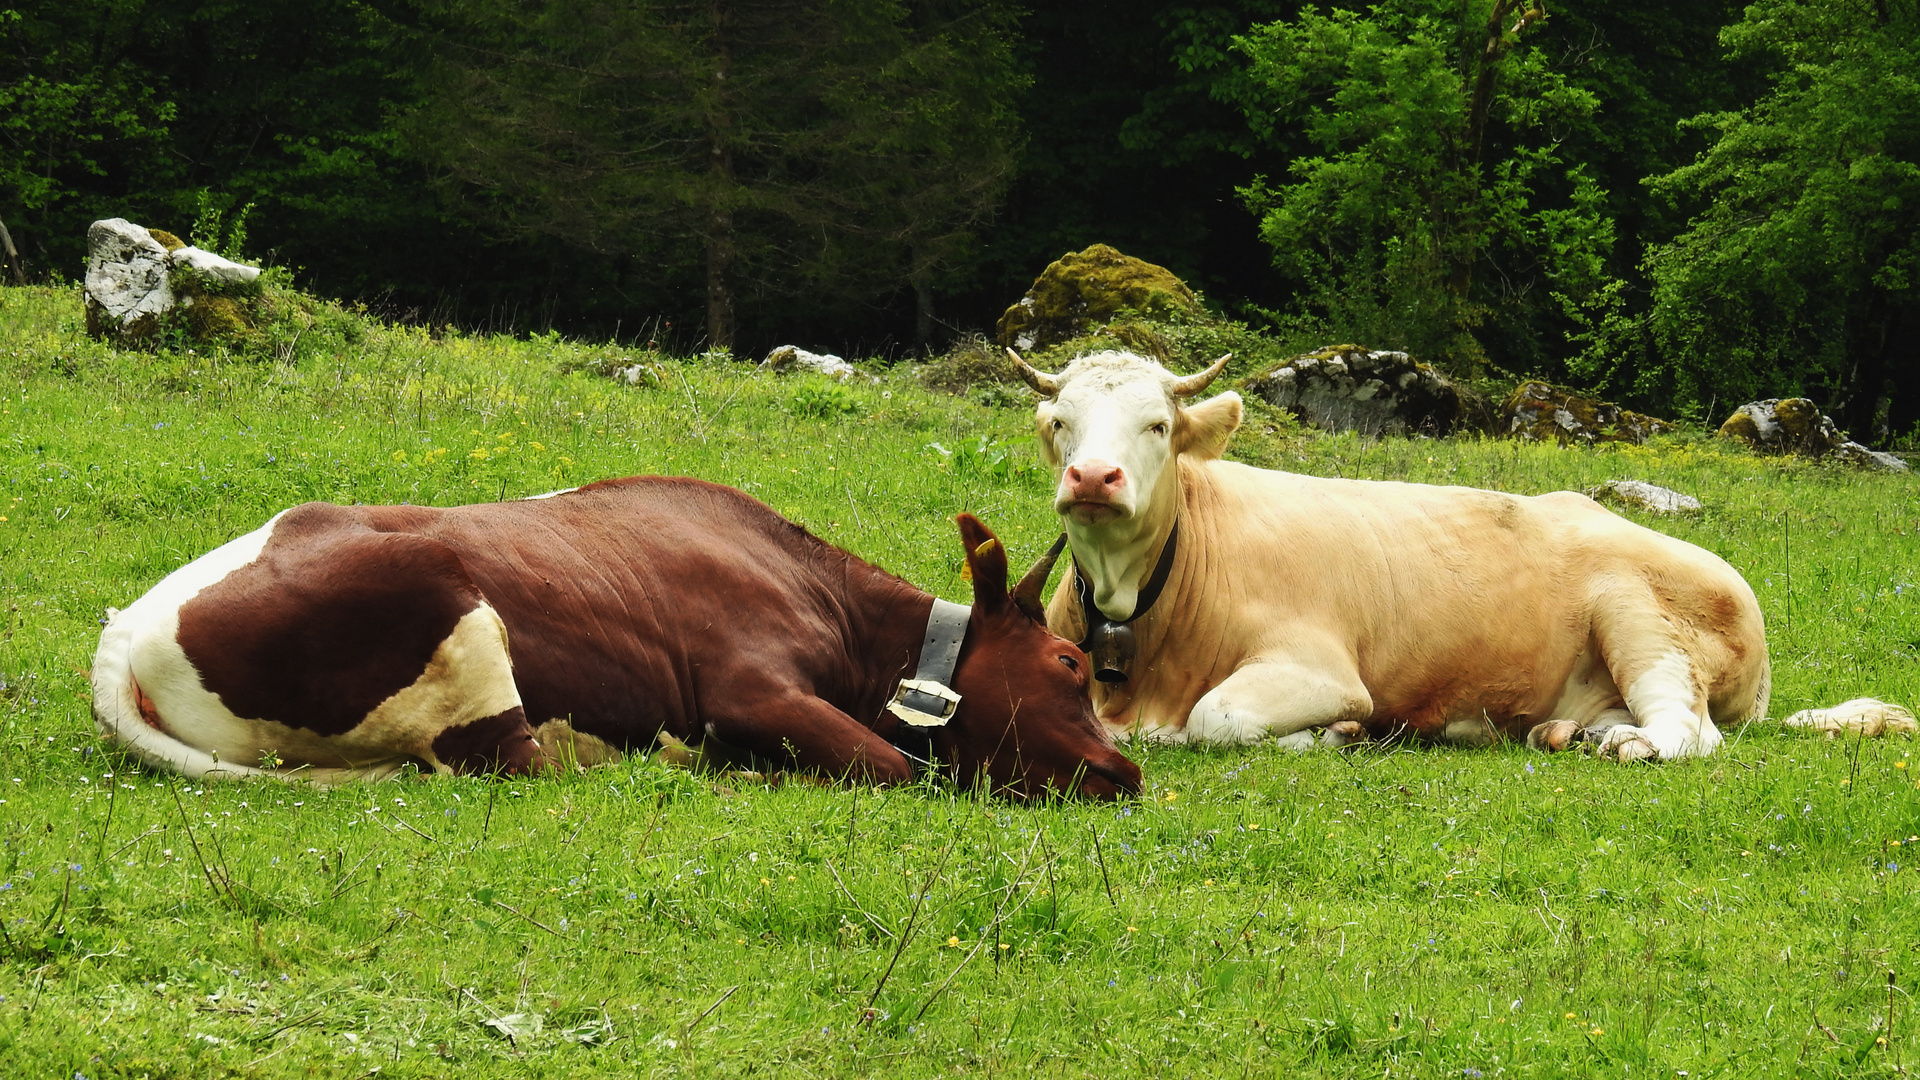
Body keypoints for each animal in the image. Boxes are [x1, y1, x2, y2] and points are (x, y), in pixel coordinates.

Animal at [93, 474, 1136, 795]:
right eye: (1068, 659)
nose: (1126, 771)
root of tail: (130, 627)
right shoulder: (749, 685)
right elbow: (890, 763)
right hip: (445, 596)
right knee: (521, 760)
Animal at [1013, 349, 1774, 760]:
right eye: (1061, 423)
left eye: (1158, 425)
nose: (1093, 478)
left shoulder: (1320, 668)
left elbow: (1213, 719)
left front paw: (1336, 735)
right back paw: (1569, 736)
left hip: (1639, 617)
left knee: (1690, 727)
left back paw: (1636, 746)